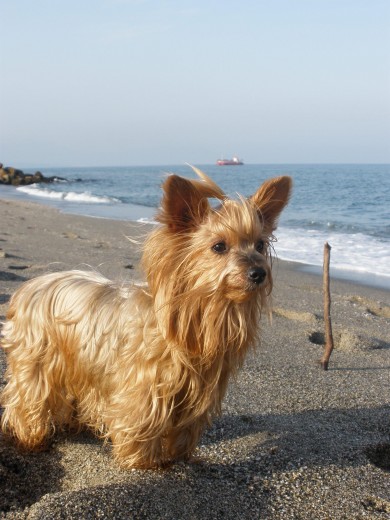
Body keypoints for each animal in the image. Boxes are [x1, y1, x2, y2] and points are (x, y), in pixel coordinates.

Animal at [0, 169, 292, 470]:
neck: (197, 315)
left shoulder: (198, 391)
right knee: (27, 400)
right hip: (35, 360)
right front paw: (143, 465)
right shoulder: (145, 388)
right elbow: (141, 423)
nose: (259, 273)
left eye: (260, 244)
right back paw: (31, 439)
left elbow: (186, 429)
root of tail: (28, 287)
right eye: (219, 246)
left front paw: (180, 458)